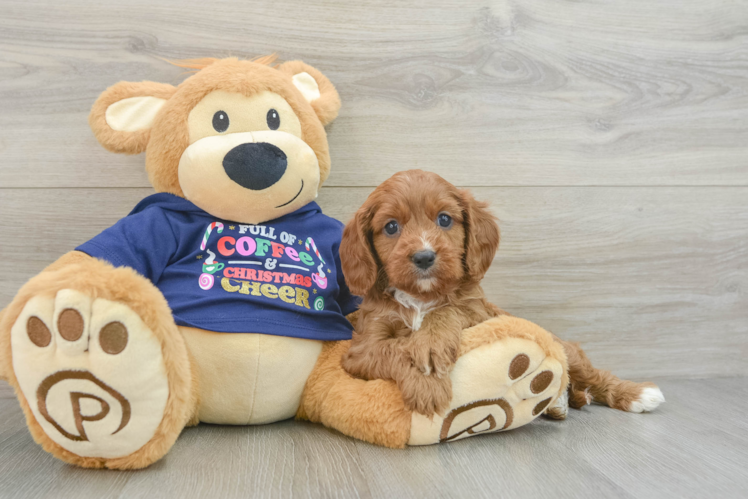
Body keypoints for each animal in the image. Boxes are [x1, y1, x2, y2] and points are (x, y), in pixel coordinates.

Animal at [342, 170, 664, 420]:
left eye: (444, 220)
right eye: (391, 226)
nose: (424, 257)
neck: (422, 296)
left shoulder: (481, 314)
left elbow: (448, 310)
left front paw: (430, 344)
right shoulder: (361, 350)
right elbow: (392, 349)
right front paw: (426, 383)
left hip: (566, 349)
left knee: (591, 374)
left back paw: (637, 393)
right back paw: (558, 404)